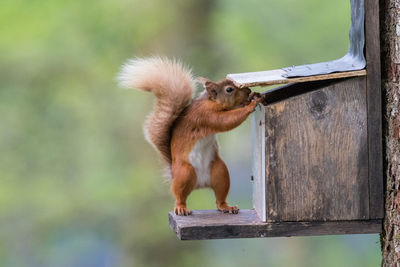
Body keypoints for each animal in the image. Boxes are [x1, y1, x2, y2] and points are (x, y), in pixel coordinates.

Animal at [117, 57, 260, 217]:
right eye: (229, 90)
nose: (248, 91)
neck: (210, 102)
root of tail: (200, 183)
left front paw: (254, 97)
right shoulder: (204, 116)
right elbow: (225, 121)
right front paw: (251, 105)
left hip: (220, 172)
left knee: (219, 198)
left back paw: (227, 207)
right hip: (185, 173)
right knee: (180, 196)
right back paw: (181, 208)